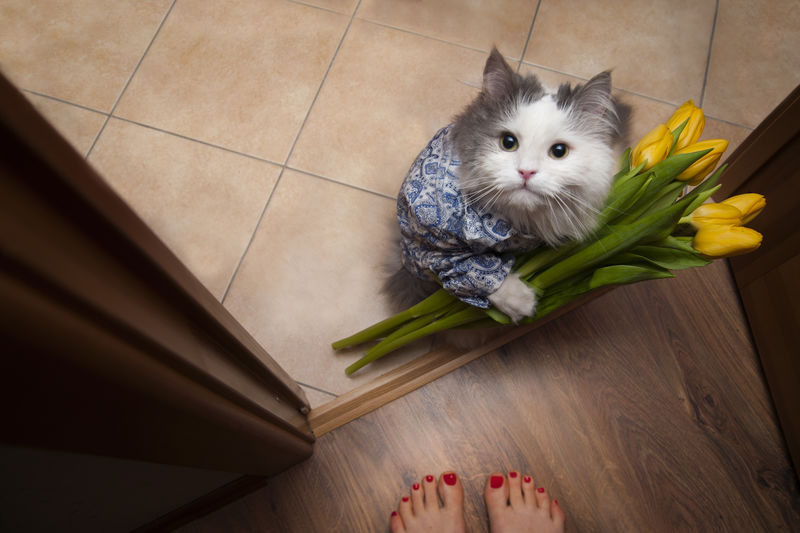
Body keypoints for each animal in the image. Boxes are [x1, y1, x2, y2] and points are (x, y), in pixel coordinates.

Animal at [384, 47, 620, 324]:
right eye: (508, 142)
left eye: (559, 151)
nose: (526, 171)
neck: (517, 223)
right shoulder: (432, 247)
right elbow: (477, 271)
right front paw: (523, 302)